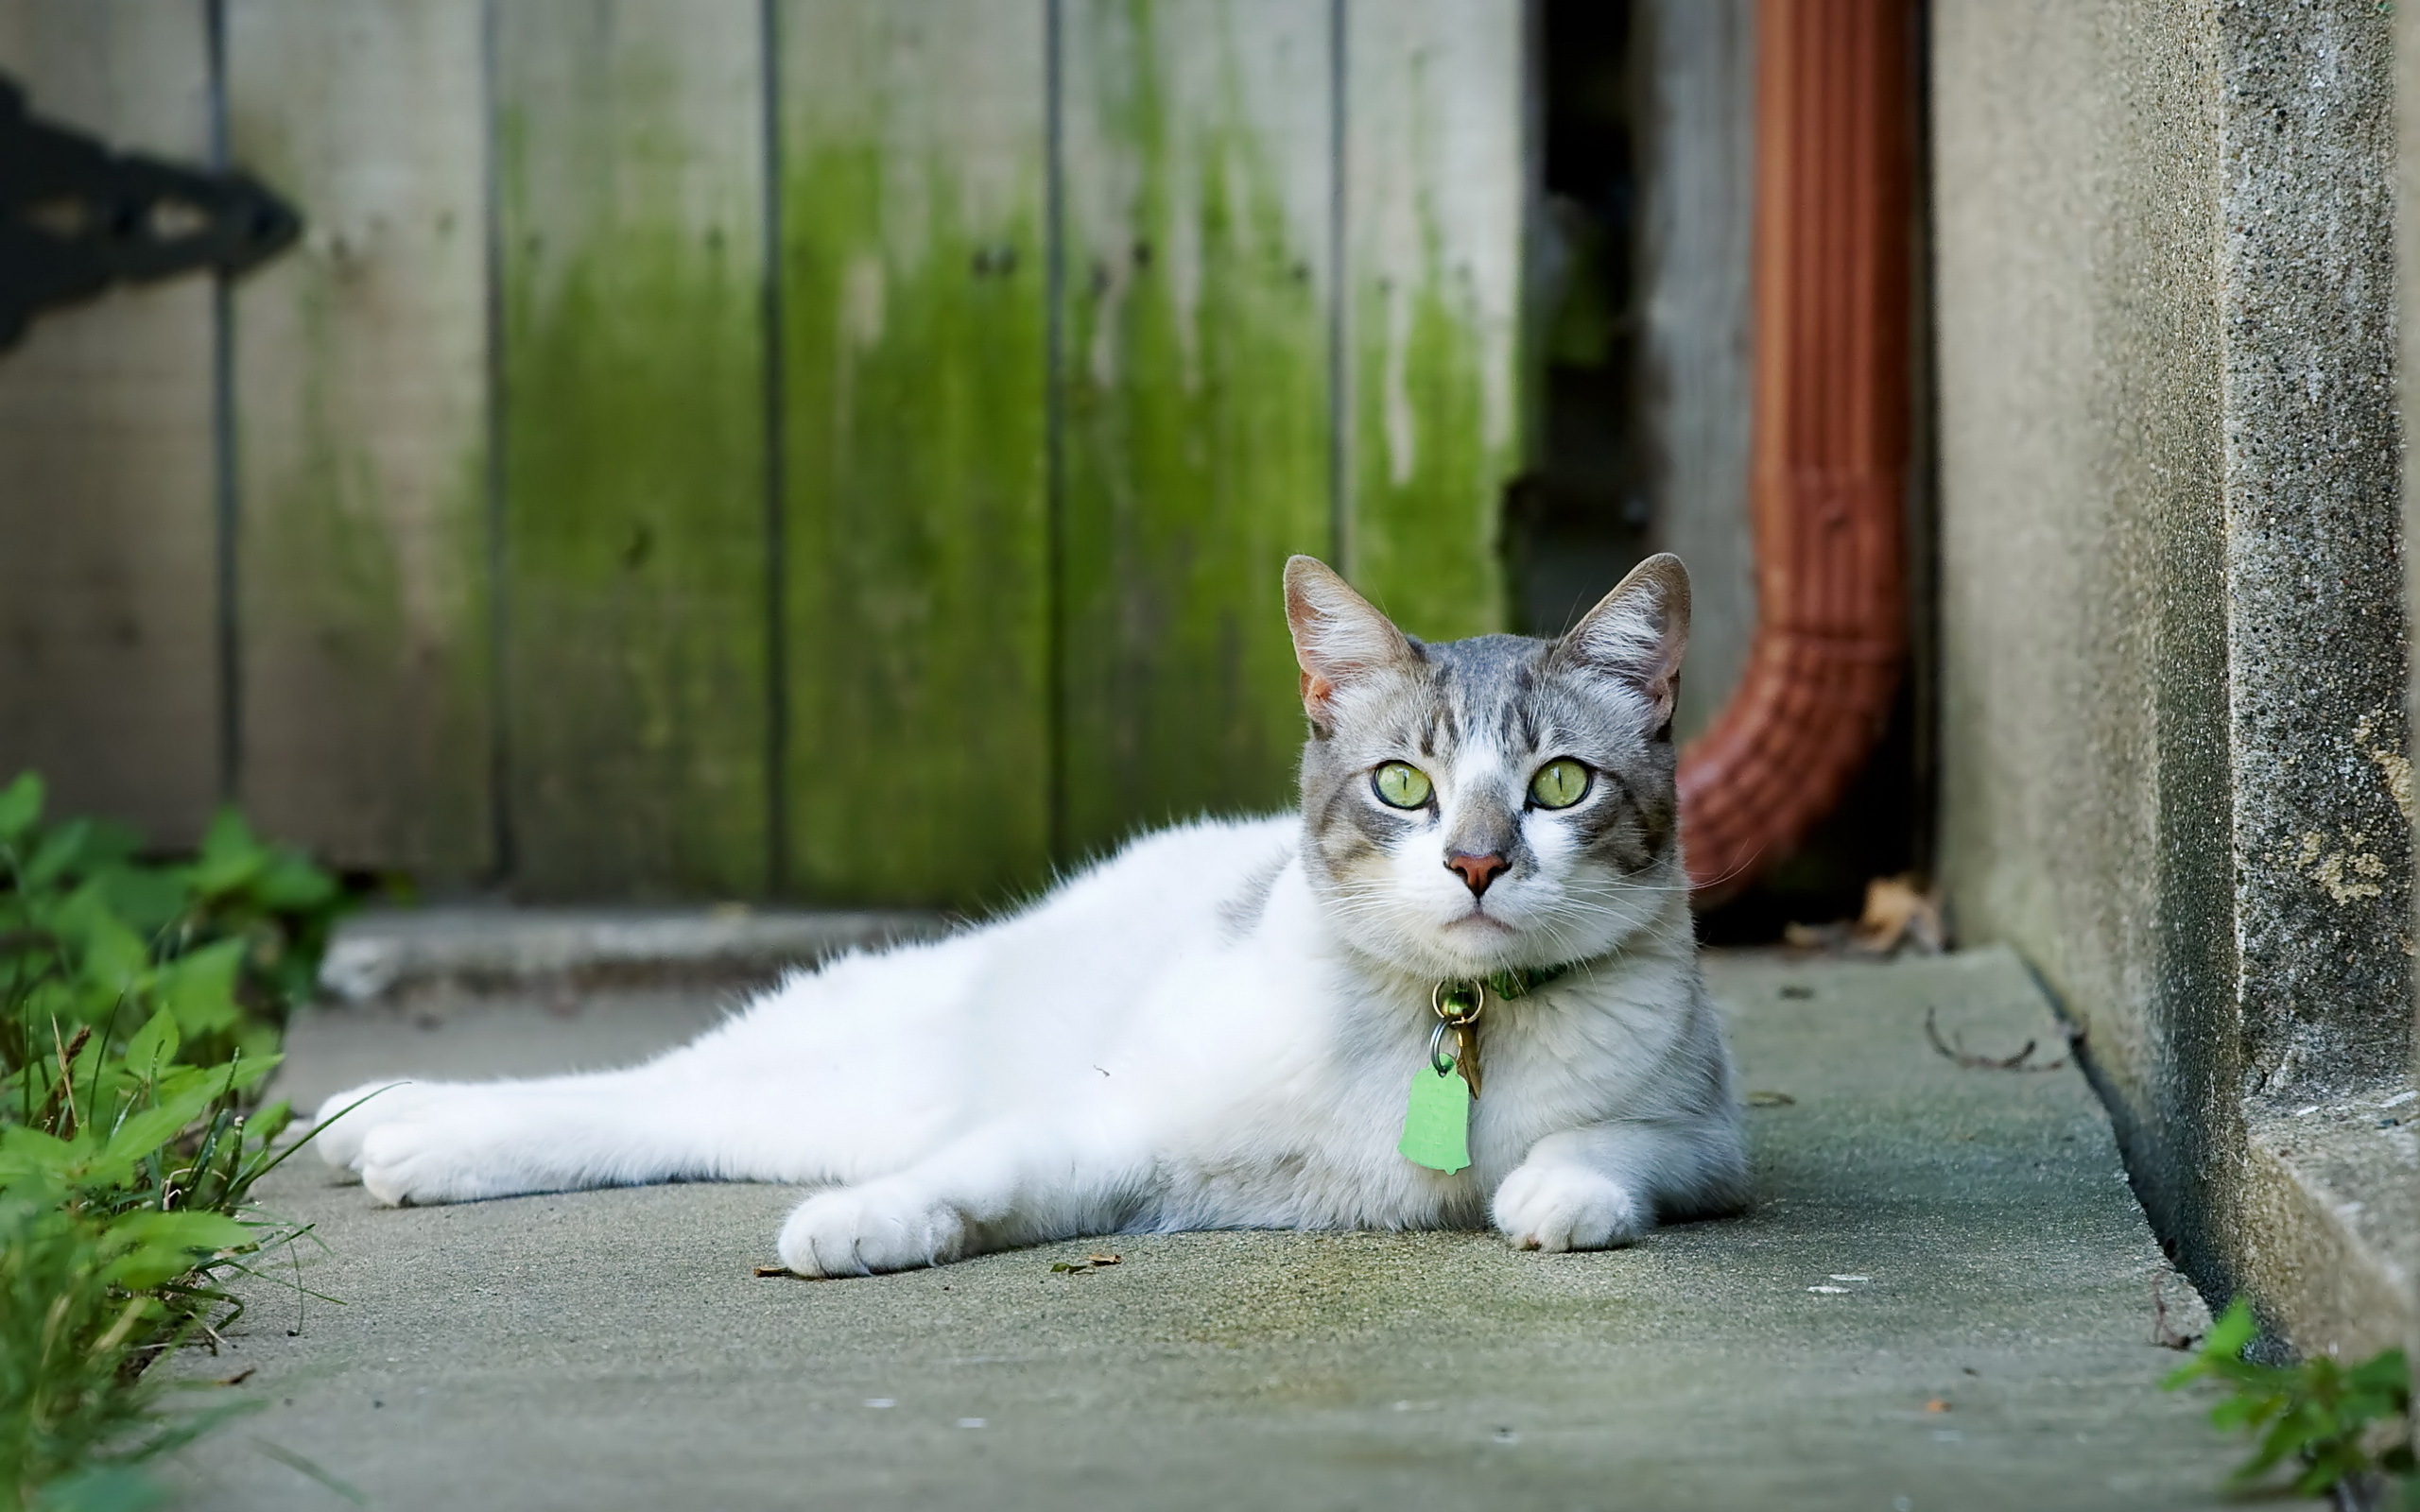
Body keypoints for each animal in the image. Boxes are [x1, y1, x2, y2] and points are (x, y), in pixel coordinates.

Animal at [312, 554, 1752, 1277]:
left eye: (1558, 785)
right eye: (1405, 785)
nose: (1475, 864)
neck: (1444, 1027)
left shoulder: (1709, 1143)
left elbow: (1613, 1152)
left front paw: (1558, 1191)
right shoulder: (1118, 1123)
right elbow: (978, 1178)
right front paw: (858, 1232)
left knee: (671, 1121)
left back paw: (390, 1134)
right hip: (865, 1064)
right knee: (647, 1087)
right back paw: (382, 1121)